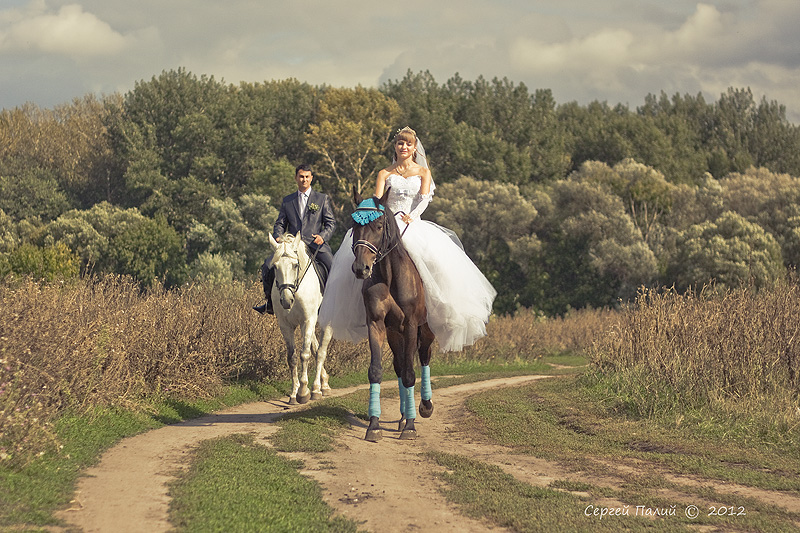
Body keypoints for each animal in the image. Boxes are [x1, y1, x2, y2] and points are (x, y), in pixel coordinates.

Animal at [268, 233, 332, 404]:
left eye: (295, 265)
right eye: (275, 267)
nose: (286, 300)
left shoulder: (307, 321)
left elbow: (305, 354)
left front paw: (303, 392)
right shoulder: (285, 325)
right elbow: (292, 357)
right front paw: (293, 393)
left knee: (321, 351)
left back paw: (317, 389)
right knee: (316, 349)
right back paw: (323, 385)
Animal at [354, 188, 434, 440]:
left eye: (379, 225)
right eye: (353, 224)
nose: (361, 268)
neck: (390, 274)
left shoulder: (411, 325)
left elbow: (410, 373)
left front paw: (410, 427)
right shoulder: (377, 324)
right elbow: (376, 371)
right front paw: (374, 425)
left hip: (425, 331)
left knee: (424, 357)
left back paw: (424, 407)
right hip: (394, 333)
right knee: (399, 364)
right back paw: (402, 416)